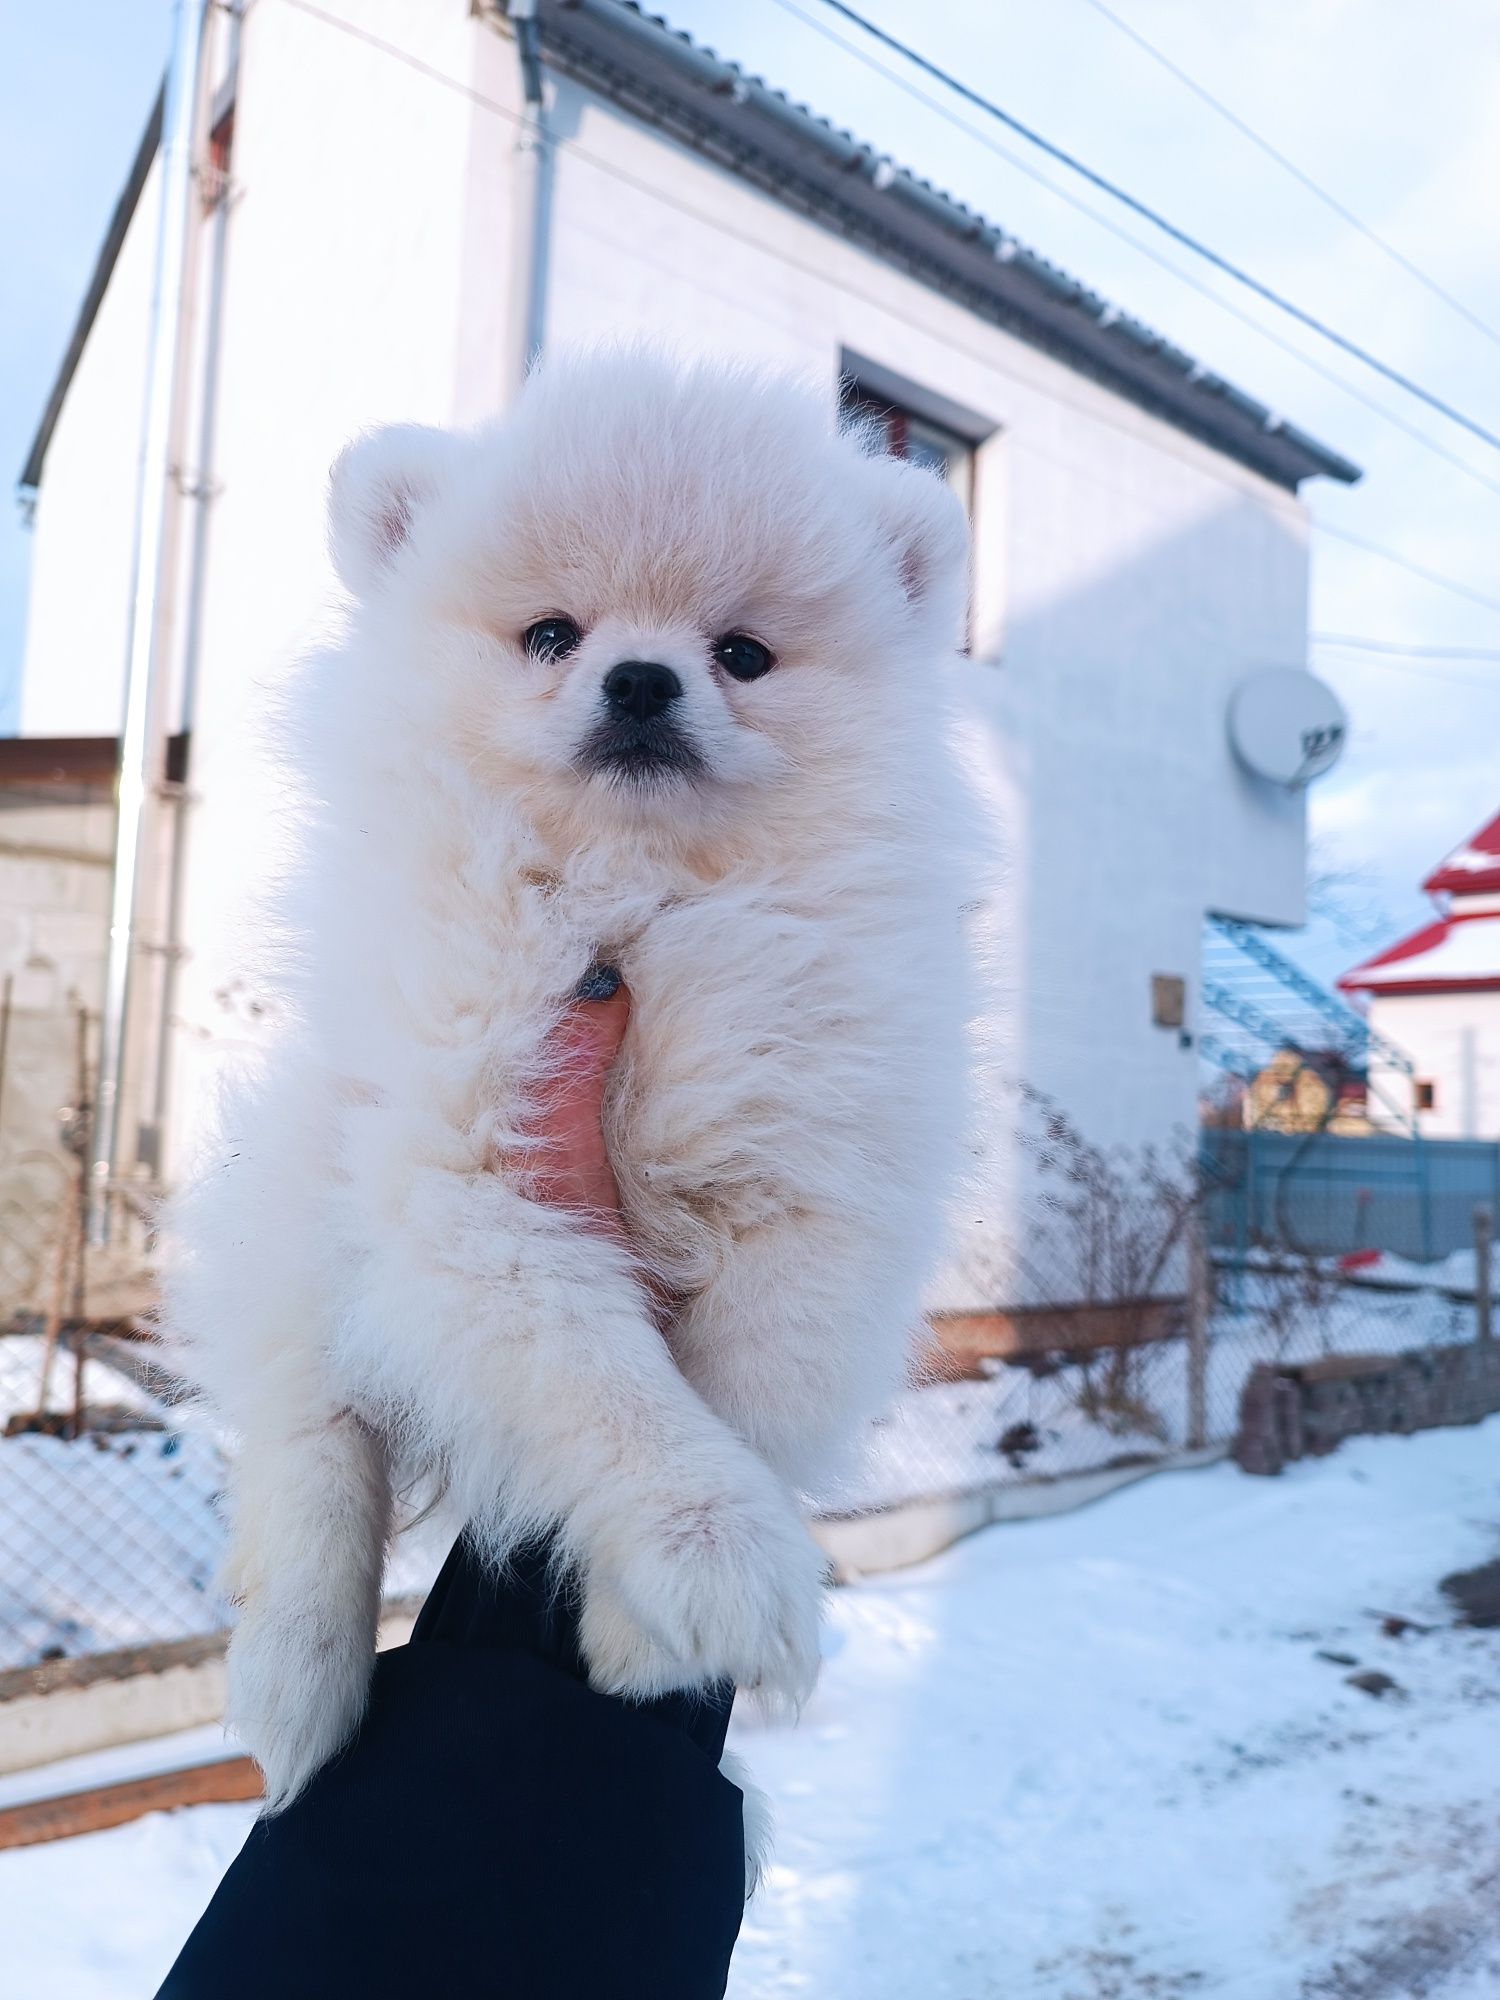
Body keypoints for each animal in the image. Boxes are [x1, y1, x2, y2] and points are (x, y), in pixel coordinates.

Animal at [164, 344, 980, 1816]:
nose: (644, 681)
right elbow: (610, 1388)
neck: (640, 890)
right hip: (297, 1200)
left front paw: (643, 1633)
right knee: (315, 1441)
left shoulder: (813, 1189)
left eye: (742, 653)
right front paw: (718, 1553)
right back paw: (296, 1677)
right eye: (551, 635)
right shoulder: (468, 1179)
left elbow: (746, 1386)